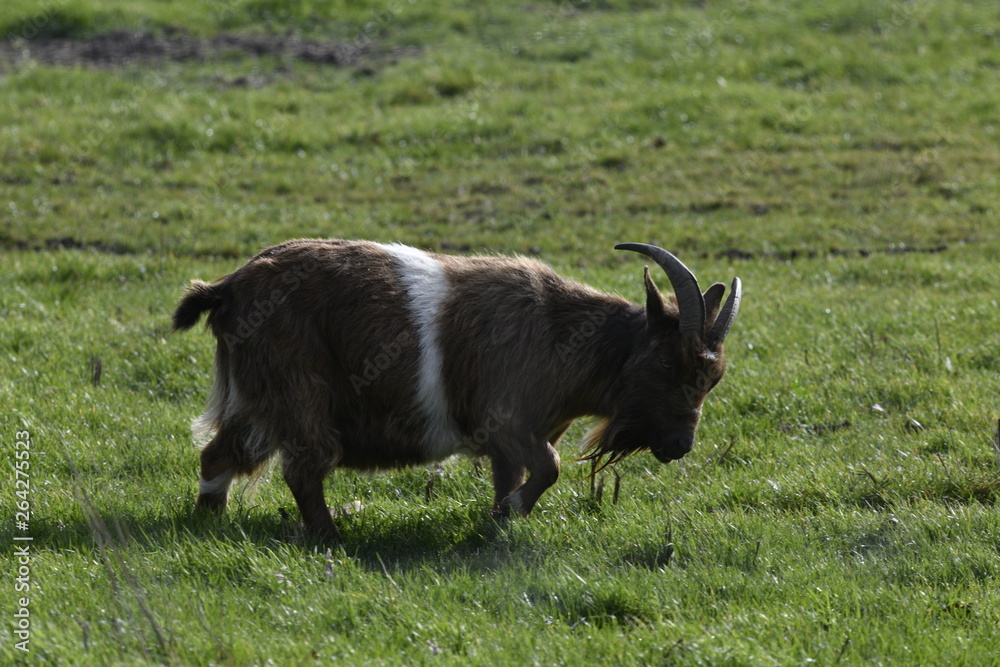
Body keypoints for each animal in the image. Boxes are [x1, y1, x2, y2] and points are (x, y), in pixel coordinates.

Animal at [173, 240, 741, 542]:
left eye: (713, 379)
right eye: (666, 361)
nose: (679, 445)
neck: (563, 332)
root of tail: (227, 289)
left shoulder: (514, 442)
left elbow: (517, 477)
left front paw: (498, 523)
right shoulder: (509, 423)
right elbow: (551, 467)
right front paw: (505, 515)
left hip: (257, 402)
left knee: (218, 453)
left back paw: (210, 521)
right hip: (298, 396)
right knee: (303, 470)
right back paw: (331, 538)